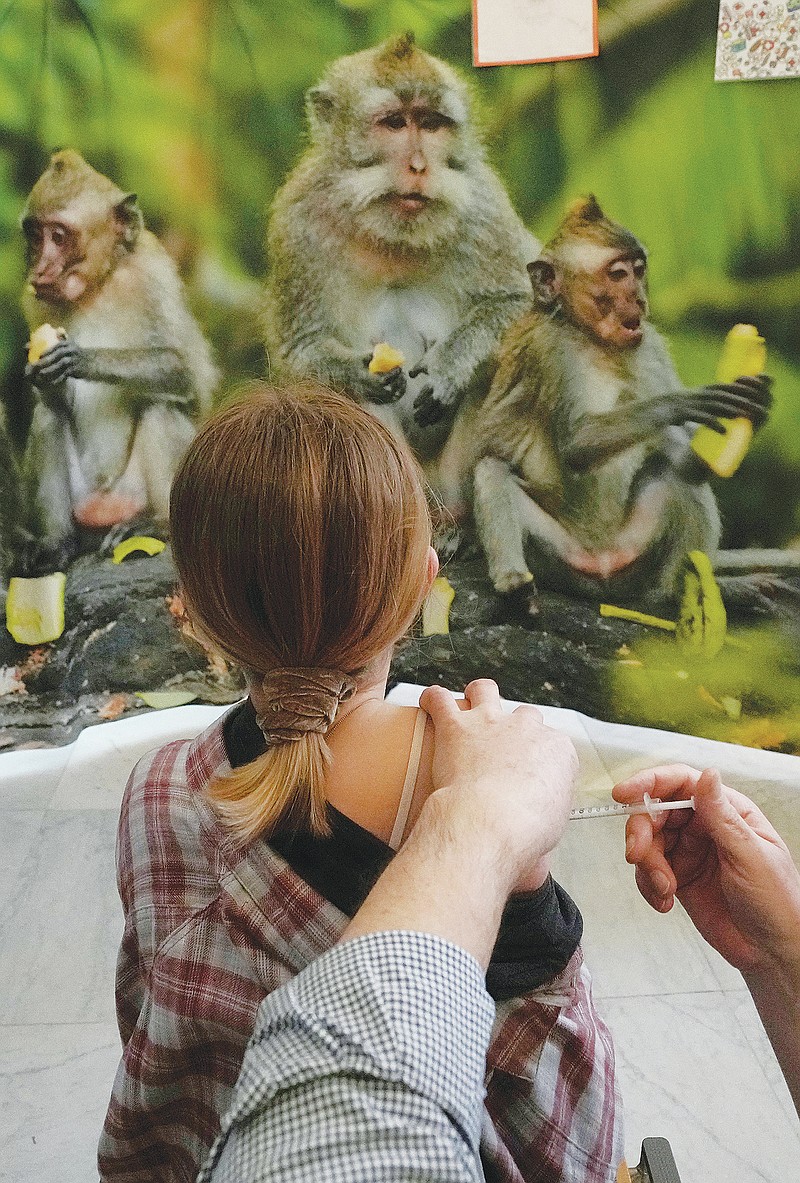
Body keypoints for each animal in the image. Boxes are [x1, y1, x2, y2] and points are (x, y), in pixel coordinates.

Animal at [20, 151, 217, 567]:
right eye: (35, 235)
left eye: (59, 236)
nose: (39, 269)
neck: (98, 287)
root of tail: (105, 505)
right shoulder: (34, 303)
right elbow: (49, 401)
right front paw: (40, 373)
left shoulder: (154, 275)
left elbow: (185, 374)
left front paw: (81, 358)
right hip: (85, 503)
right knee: (47, 416)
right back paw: (58, 543)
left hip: (135, 492)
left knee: (161, 405)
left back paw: (158, 525)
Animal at [265, 34, 539, 459]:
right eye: (394, 122)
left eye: (430, 124)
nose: (419, 166)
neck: (394, 233)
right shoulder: (298, 221)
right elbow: (299, 347)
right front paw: (355, 373)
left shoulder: (484, 207)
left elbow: (520, 302)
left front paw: (451, 364)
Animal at [471, 197, 771, 605]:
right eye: (617, 274)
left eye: (639, 270)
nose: (639, 298)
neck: (592, 340)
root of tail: (603, 565)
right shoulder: (549, 352)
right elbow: (576, 444)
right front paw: (680, 403)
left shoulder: (652, 346)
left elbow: (686, 463)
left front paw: (755, 408)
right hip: (558, 560)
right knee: (493, 469)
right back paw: (513, 582)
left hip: (635, 554)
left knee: (676, 476)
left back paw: (675, 593)